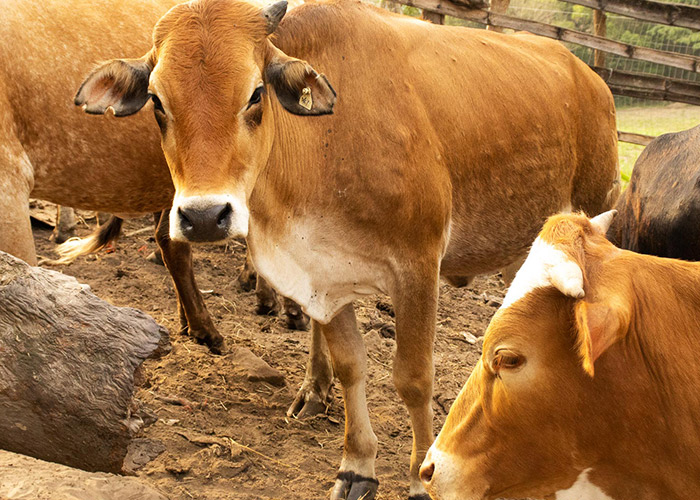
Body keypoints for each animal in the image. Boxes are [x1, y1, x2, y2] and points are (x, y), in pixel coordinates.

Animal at [74, 0, 620, 497]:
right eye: (157, 101)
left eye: (255, 93)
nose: (205, 216)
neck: (325, 143)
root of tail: (589, 77)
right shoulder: (323, 274)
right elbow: (351, 367)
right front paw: (356, 467)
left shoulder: (416, 267)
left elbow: (413, 379)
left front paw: (420, 479)